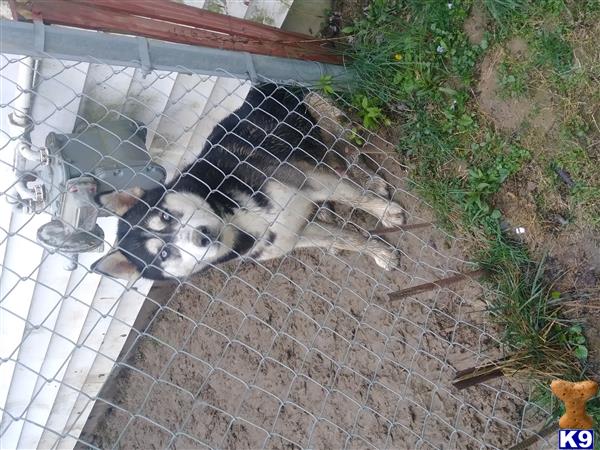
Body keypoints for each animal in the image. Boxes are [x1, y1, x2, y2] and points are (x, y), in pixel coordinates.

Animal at [90, 83, 408, 282]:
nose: (203, 237)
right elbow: (345, 238)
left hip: (318, 118)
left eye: (166, 216)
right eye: (164, 254)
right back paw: (330, 210)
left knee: (348, 150)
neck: (236, 218)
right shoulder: (294, 234)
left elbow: (356, 197)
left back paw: (371, 181)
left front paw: (386, 214)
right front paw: (377, 251)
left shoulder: (307, 179)